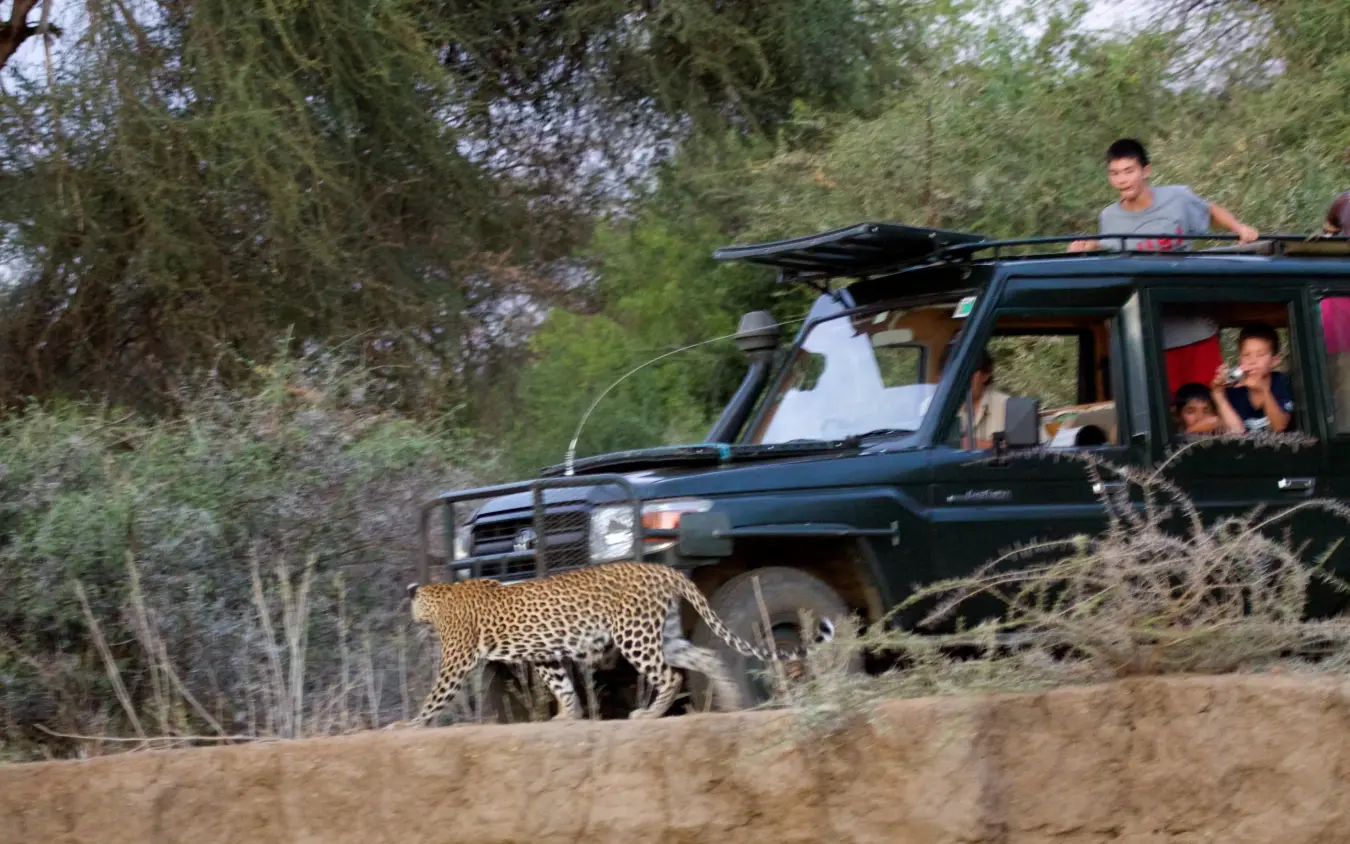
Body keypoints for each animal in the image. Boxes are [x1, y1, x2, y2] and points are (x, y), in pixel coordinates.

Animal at [399, 561, 834, 727]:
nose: (408, 618)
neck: (441, 596)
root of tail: (663, 569)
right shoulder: (546, 655)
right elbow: (562, 685)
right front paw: (568, 716)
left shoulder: (456, 660)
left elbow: (435, 695)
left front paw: (409, 723)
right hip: (664, 634)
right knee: (707, 656)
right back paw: (729, 702)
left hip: (634, 635)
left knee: (670, 676)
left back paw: (649, 714)